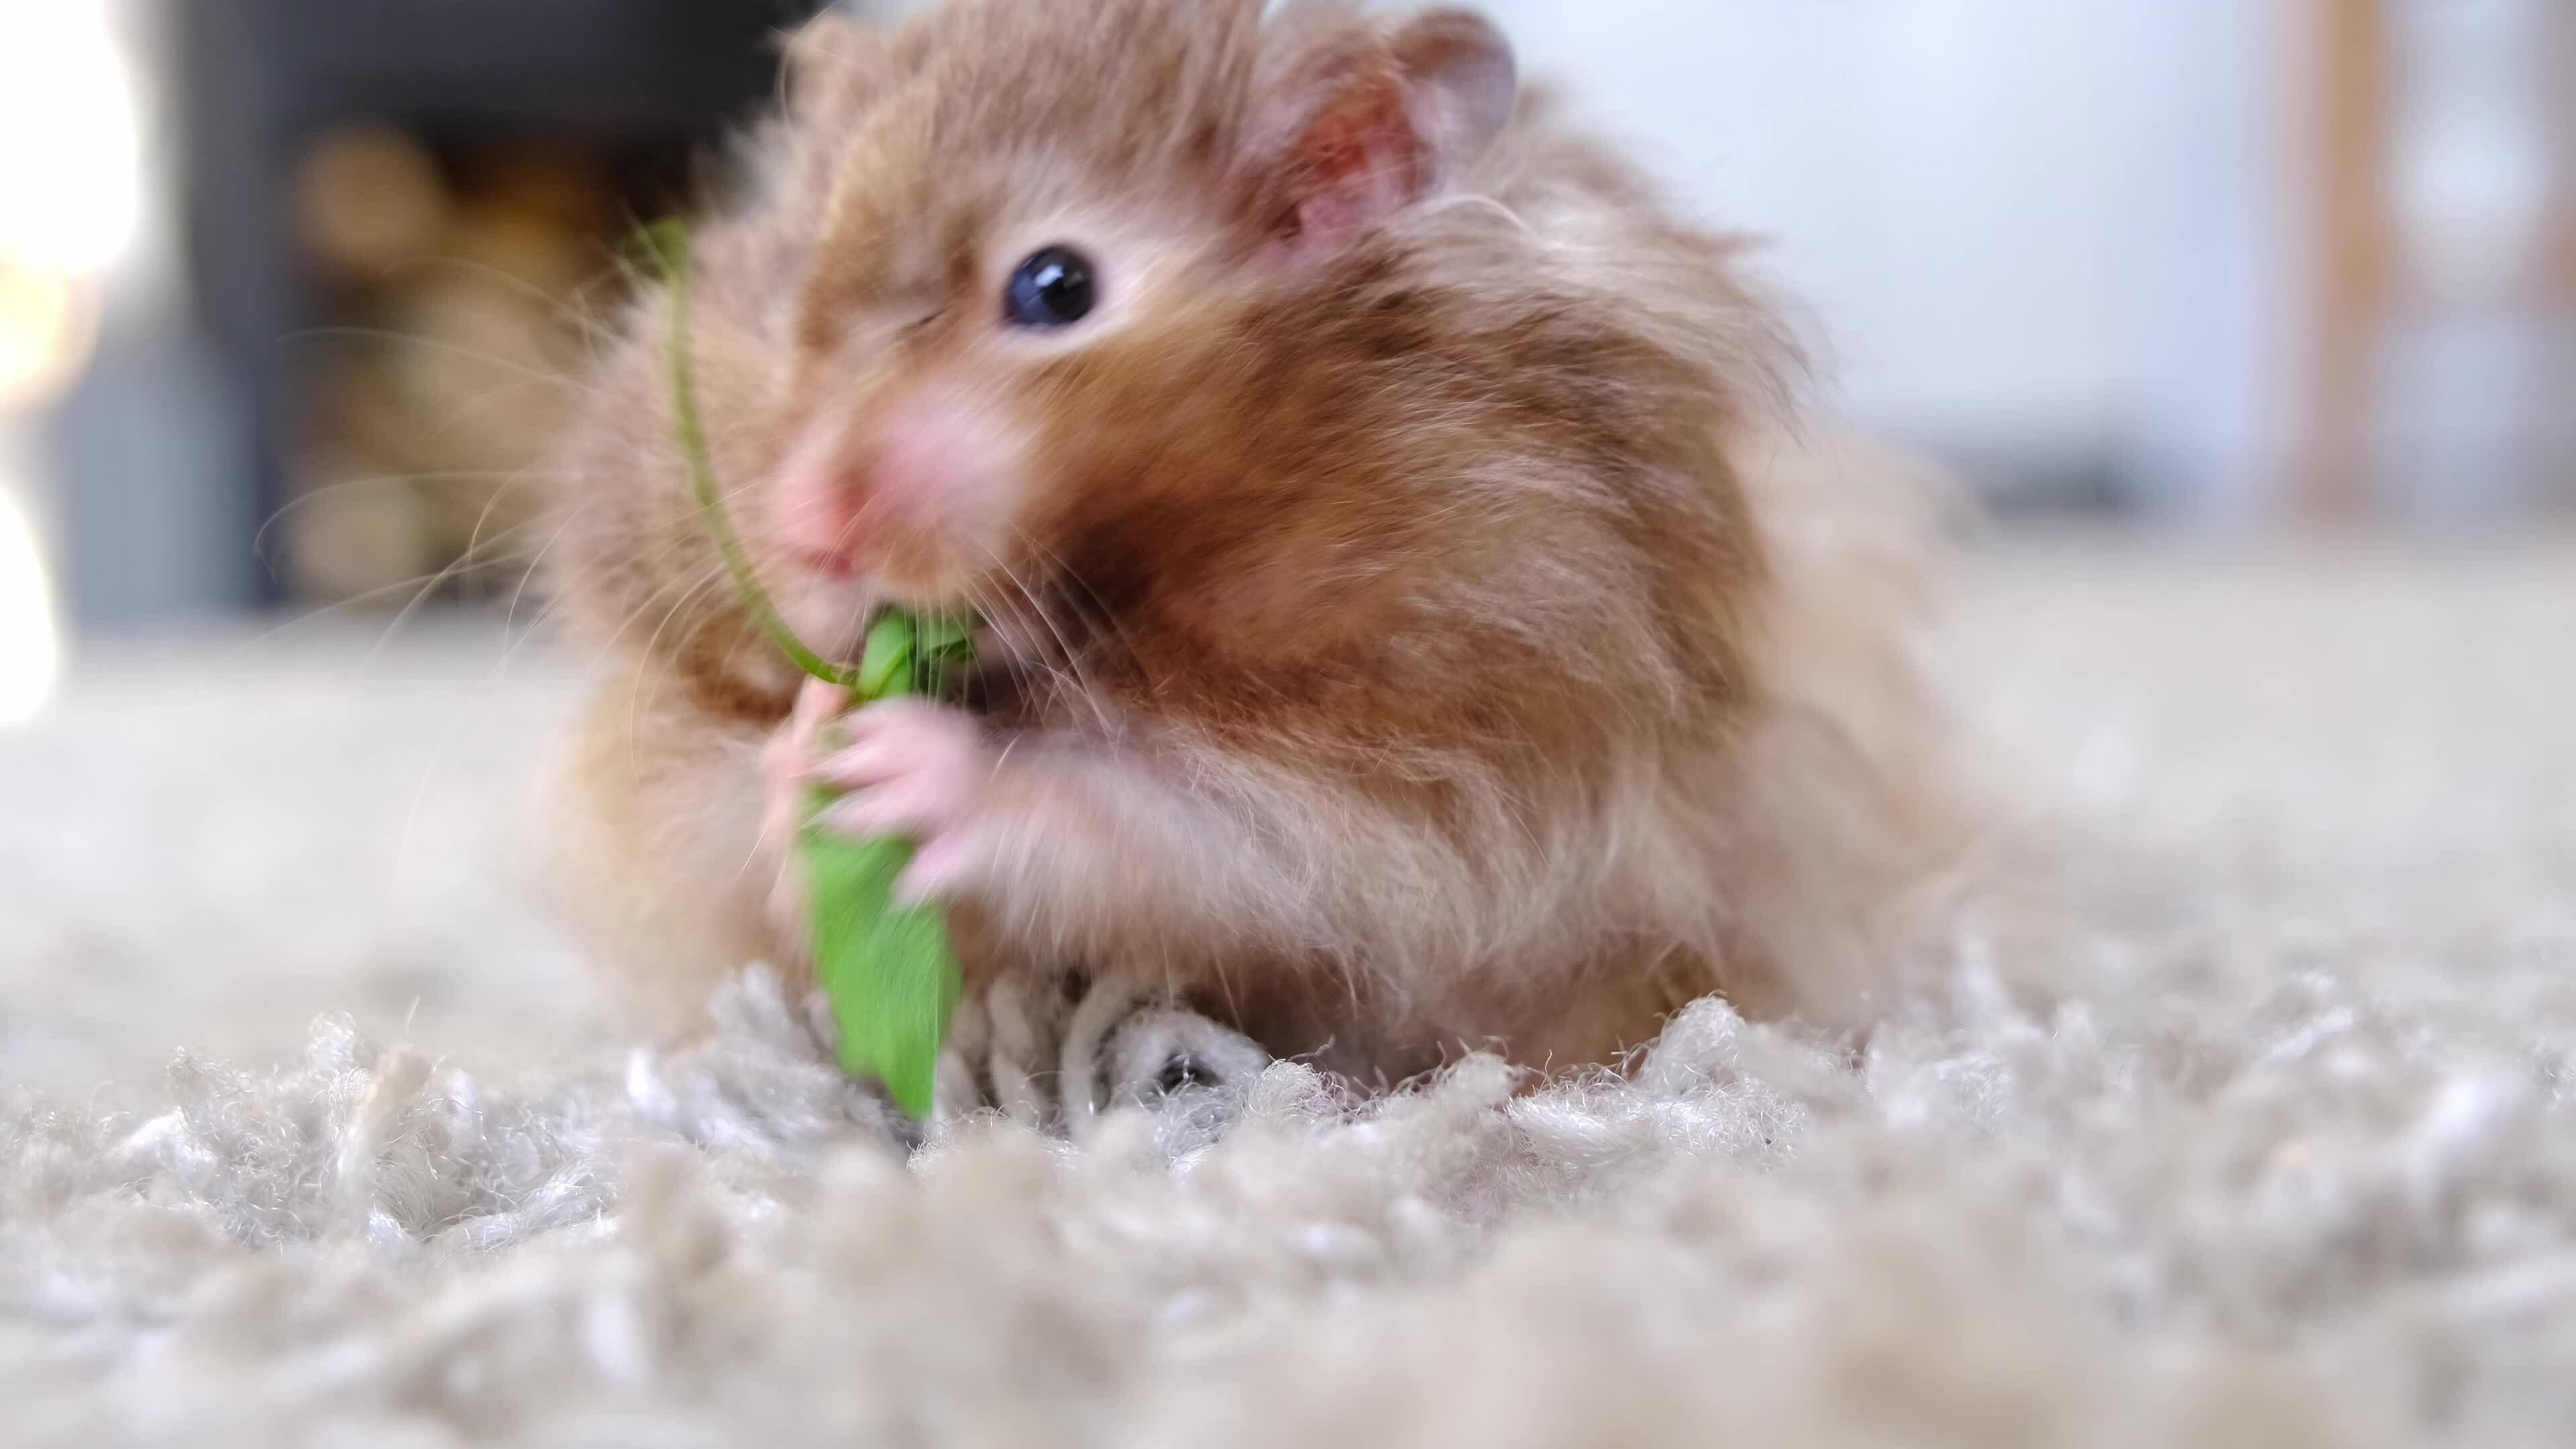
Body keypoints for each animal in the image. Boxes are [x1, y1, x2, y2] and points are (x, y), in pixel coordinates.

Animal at [538, 0, 1947, 1083]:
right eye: (790, 288)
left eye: (1056, 288)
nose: (807, 526)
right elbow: (733, 833)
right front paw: (805, 755)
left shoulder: (1446, 772)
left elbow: (1156, 824)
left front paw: (901, 768)